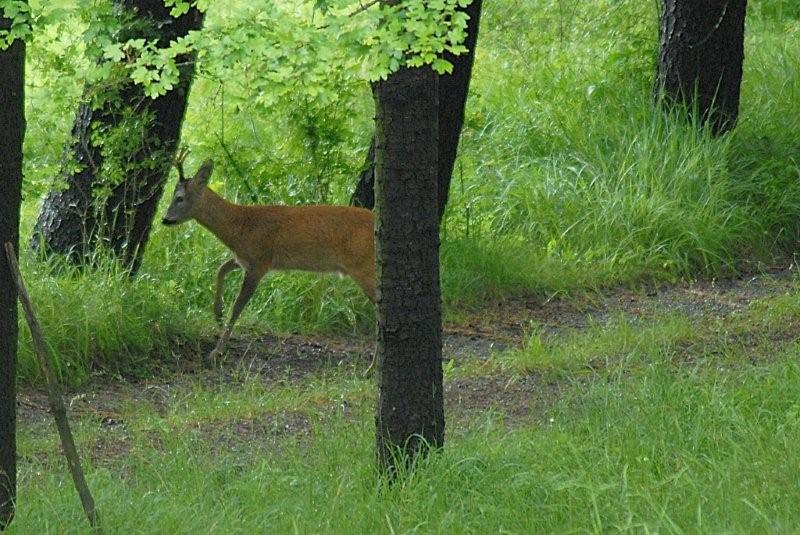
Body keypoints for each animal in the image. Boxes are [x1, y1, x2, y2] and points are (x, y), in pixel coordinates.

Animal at [162, 151, 378, 368]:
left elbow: (237, 306)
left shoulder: (259, 261)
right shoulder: (246, 258)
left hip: (364, 264)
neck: (239, 226)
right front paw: (217, 313)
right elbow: (221, 268)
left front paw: (216, 351)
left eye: (179, 198)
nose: (164, 219)